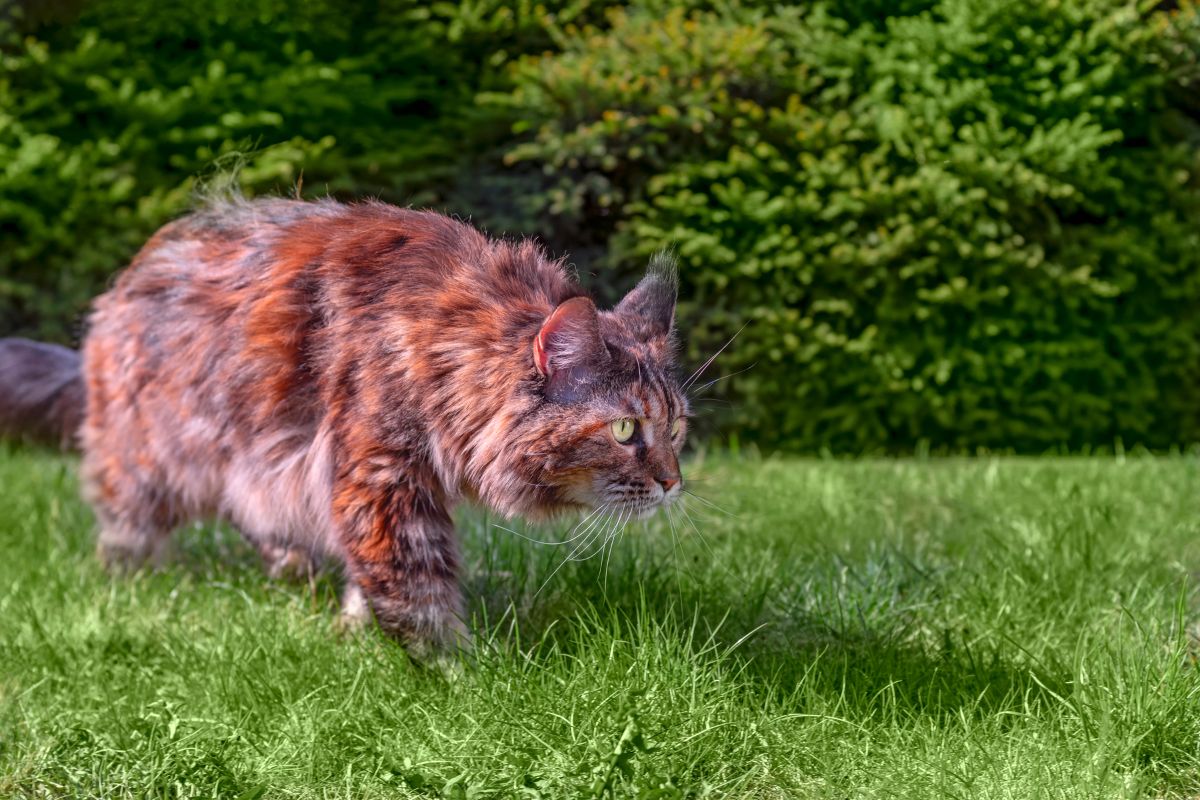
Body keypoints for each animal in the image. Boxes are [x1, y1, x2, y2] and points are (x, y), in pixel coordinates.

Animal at [4, 199, 691, 657]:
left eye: (677, 429)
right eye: (626, 430)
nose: (673, 484)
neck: (443, 350)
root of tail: (117, 290)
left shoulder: (370, 486)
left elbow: (371, 573)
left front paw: (356, 631)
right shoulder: (380, 478)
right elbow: (416, 591)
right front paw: (463, 675)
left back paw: (290, 568)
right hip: (154, 457)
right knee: (127, 526)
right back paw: (132, 585)